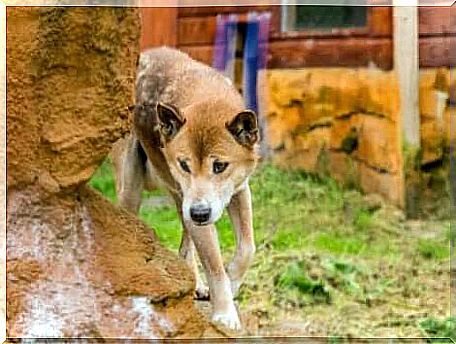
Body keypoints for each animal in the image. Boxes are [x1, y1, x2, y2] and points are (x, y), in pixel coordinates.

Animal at [111, 47, 260, 330]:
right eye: (184, 164)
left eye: (220, 166)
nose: (200, 213)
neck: (207, 94)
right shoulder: (194, 207)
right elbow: (214, 266)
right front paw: (225, 315)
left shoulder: (239, 191)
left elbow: (247, 248)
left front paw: (233, 282)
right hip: (131, 192)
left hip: (181, 199)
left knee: (186, 240)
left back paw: (195, 282)